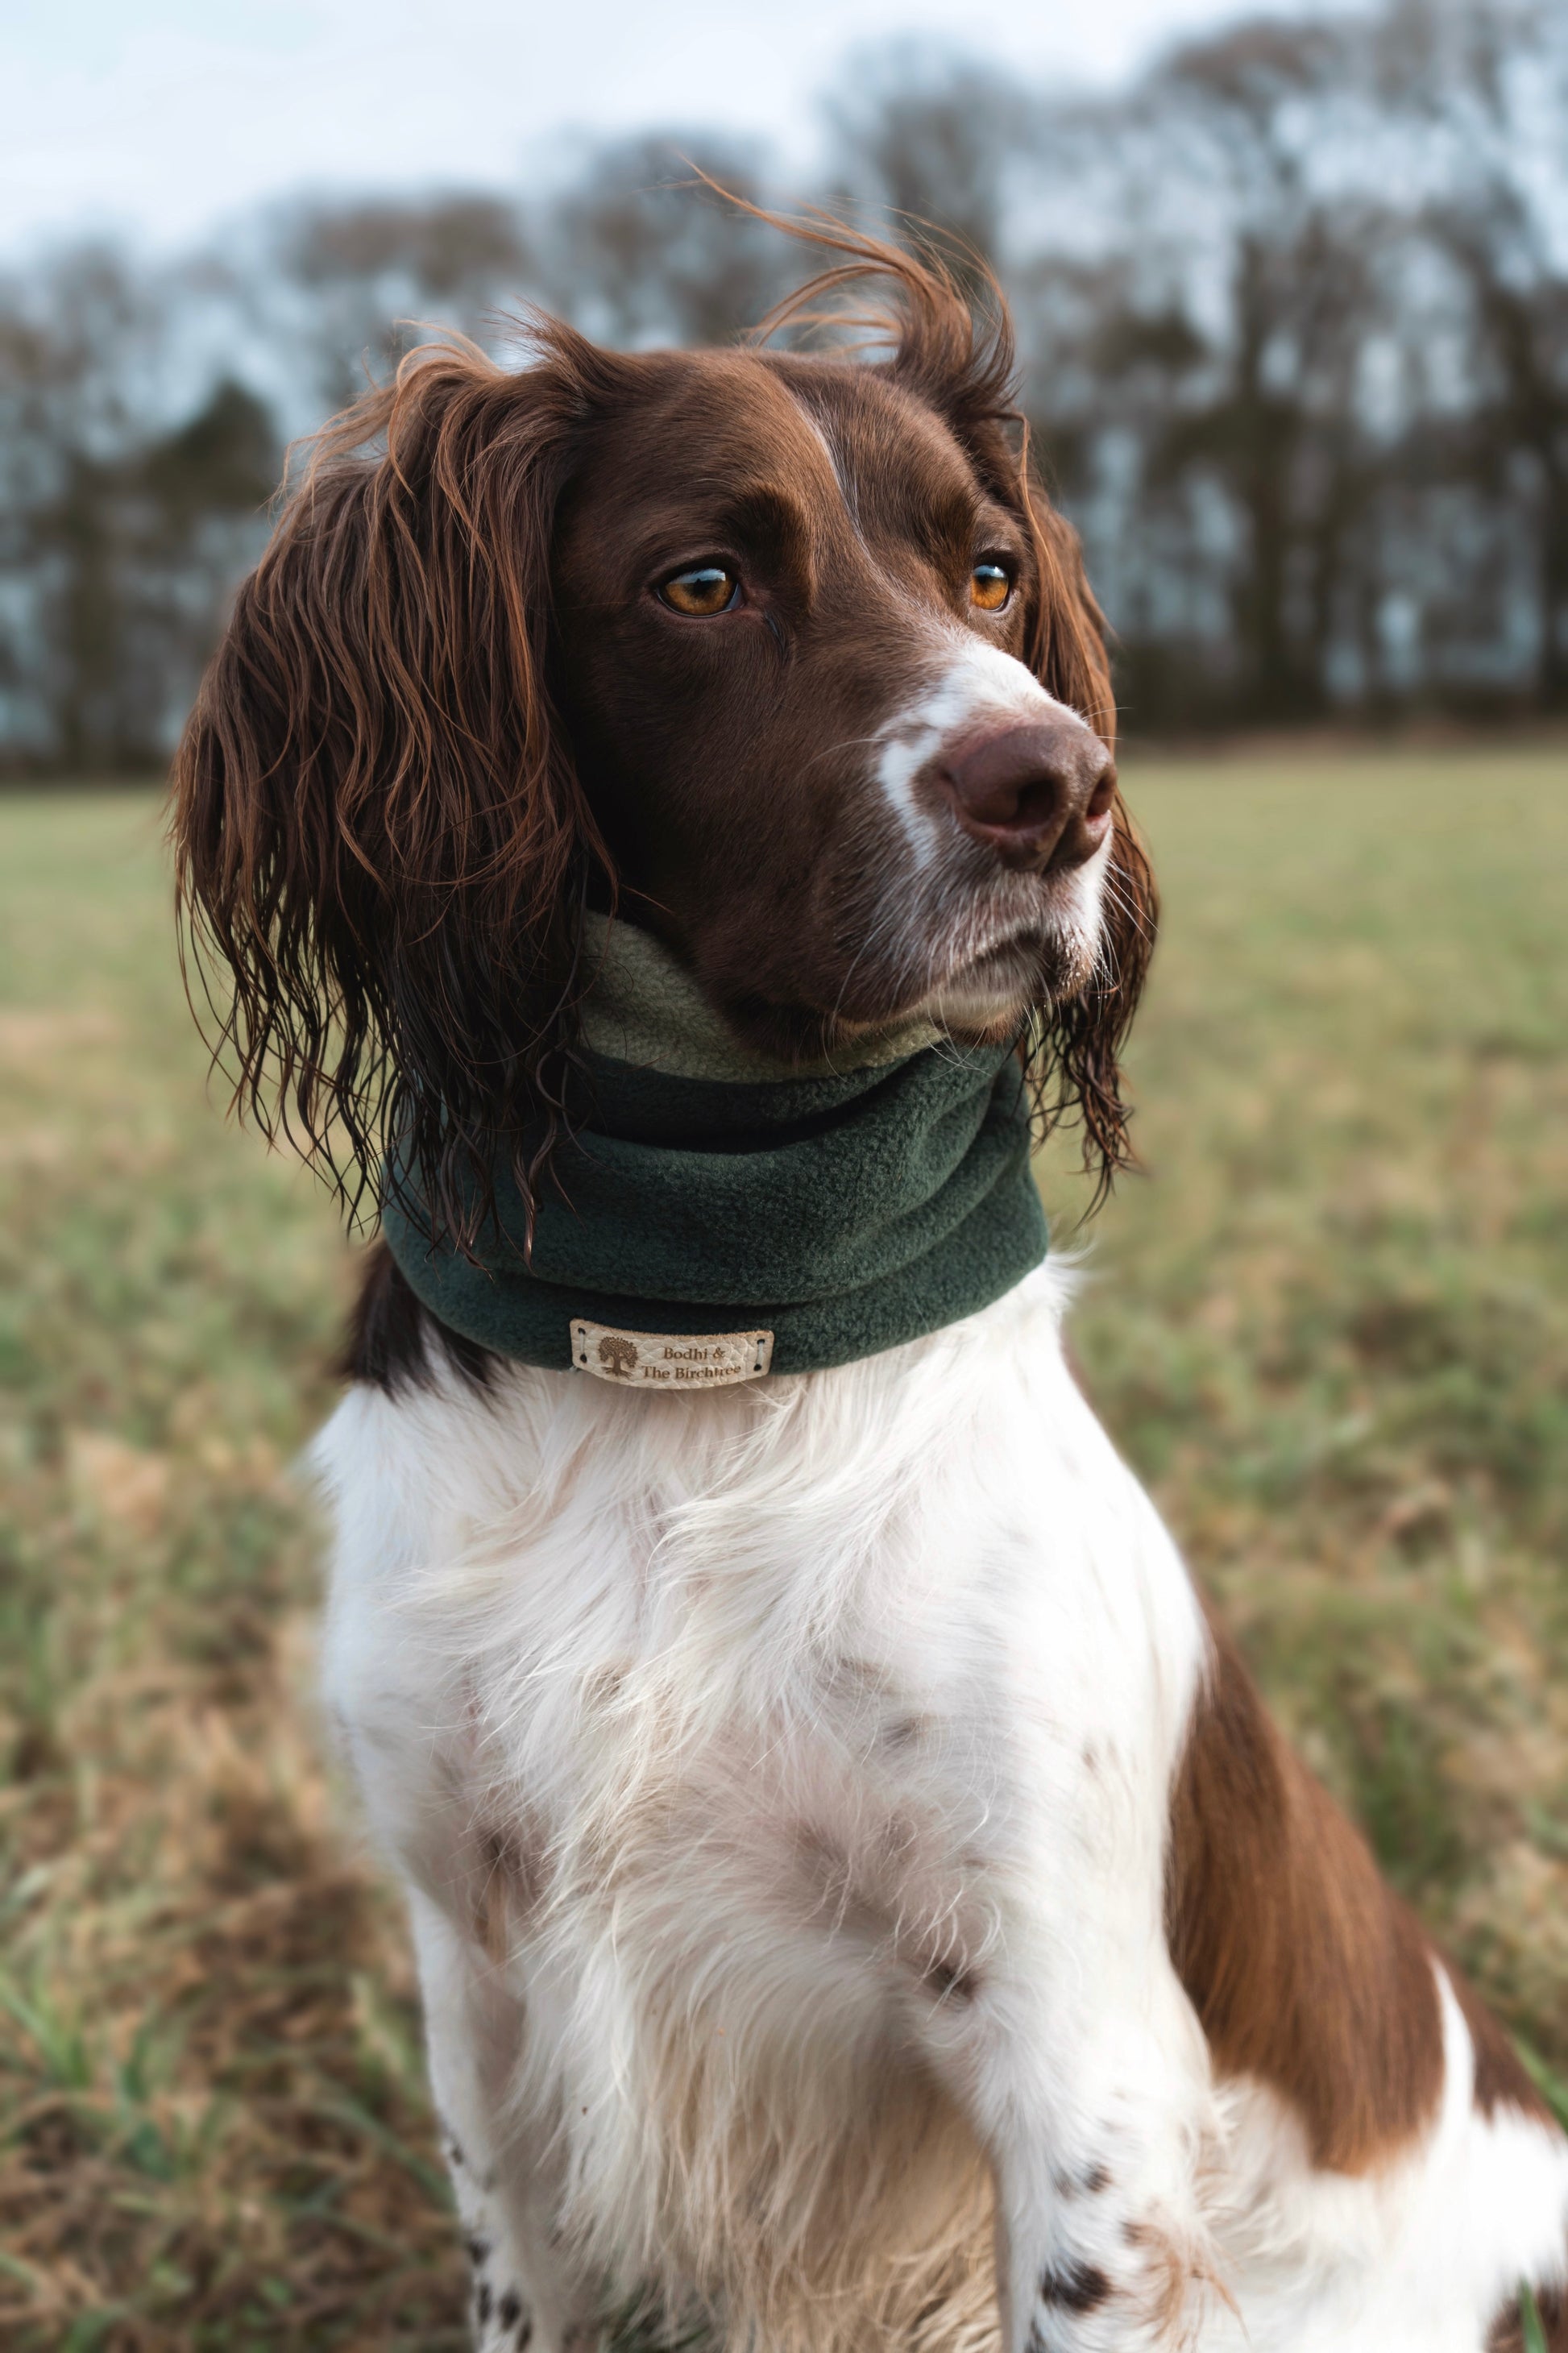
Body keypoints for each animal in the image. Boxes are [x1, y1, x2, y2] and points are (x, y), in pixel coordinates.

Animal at [170, 224, 1563, 2353]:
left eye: (988, 573)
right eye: (703, 582)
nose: (1057, 786)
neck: (699, 1334)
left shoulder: (1068, 2052)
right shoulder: (476, 1969)